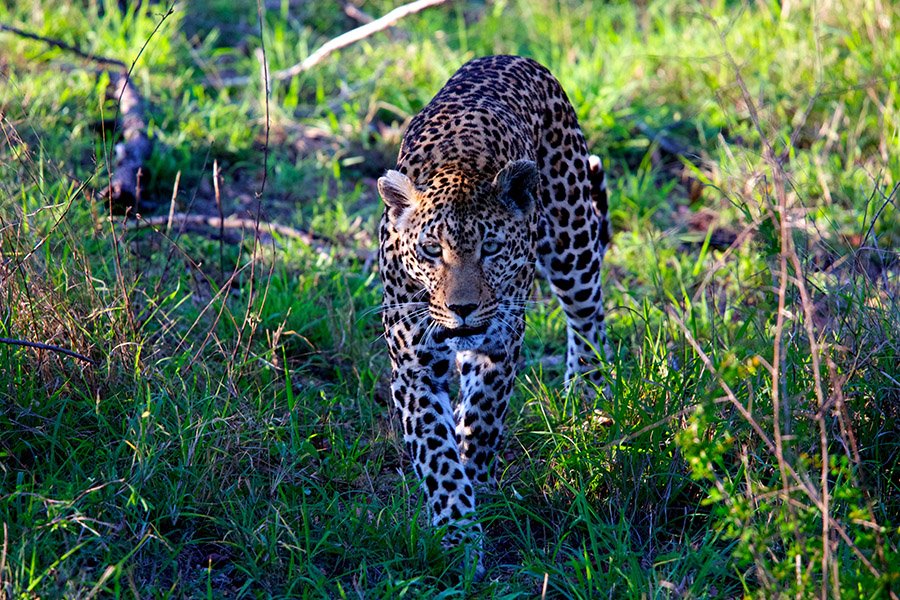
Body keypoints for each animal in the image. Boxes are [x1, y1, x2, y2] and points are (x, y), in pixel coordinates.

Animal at [377, 55, 611, 573]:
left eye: (492, 248)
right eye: (431, 250)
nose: (461, 308)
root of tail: (510, 57)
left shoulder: (500, 342)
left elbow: (483, 418)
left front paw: (479, 487)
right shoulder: (413, 365)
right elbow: (437, 450)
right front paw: (459, 532)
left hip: (573, 244)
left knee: (588, 320)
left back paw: (587, 399)